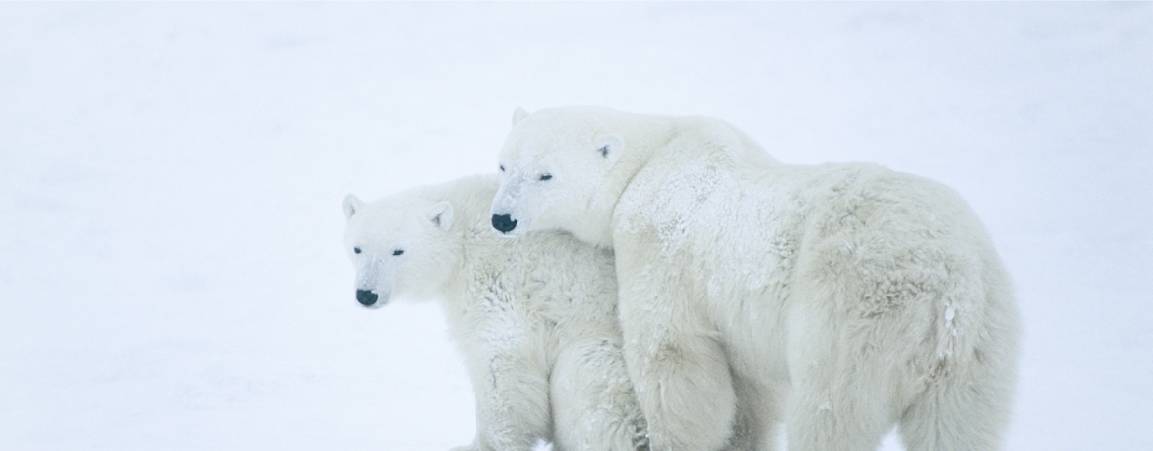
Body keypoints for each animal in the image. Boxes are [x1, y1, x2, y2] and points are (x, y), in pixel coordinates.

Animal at [338, 174, 650, 451]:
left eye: (398, 251)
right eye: (358, 248)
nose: (366, 294)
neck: (464, 237)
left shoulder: (499, 287)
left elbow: (500, 364)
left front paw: (479, 444)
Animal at [486, 106, 1019, 451]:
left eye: (546, 175)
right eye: (504, 164)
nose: (501, 219)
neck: (652, 158)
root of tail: (948, 283)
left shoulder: (658, 243)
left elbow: (673, 359)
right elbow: (751, 389)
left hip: (854, 311)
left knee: (832, 411)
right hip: (979, 345)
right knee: (957, 426)